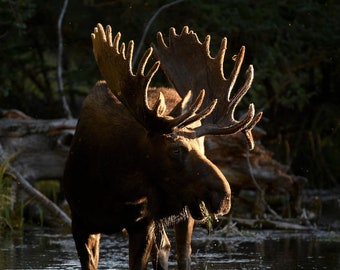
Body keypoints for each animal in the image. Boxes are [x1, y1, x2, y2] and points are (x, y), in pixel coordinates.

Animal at [62, 24, 262, 268]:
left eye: (202, 148)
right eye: (175, 149)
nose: (224, 196)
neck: (113, 183)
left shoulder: (143, 223)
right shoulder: (81, 222)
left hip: (187, 211)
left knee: (182, 252)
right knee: (164, 247)